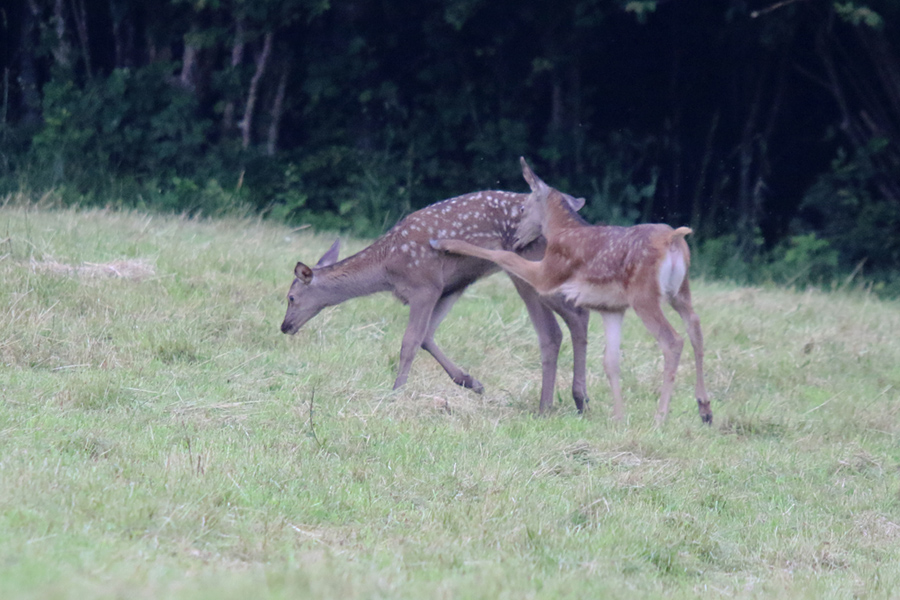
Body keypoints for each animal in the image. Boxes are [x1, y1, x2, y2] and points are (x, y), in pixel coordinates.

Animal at [280, 185, 592, 414]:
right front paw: (471, 382)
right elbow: (427, 336)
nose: (284, 326)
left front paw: (395, 392)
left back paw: (567, 401)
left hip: (531, 266)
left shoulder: (424, 284)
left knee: (565, 324)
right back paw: (564, 401)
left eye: (291, 297)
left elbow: (410, 342)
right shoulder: (450, 287)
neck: (387, 267)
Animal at [428, 157, 712, 424]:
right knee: (695, 325)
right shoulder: (611, 308)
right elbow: (611, 361)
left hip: (644, 295)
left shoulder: (548, 273)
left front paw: (444, 242)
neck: (561, 230)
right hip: (680, 291)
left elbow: (503, 255)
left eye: (523, 208)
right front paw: (617, 417)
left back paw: (661, 417)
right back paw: (704, 408)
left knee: (673, 340)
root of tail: (673, 239)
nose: (517, 236)